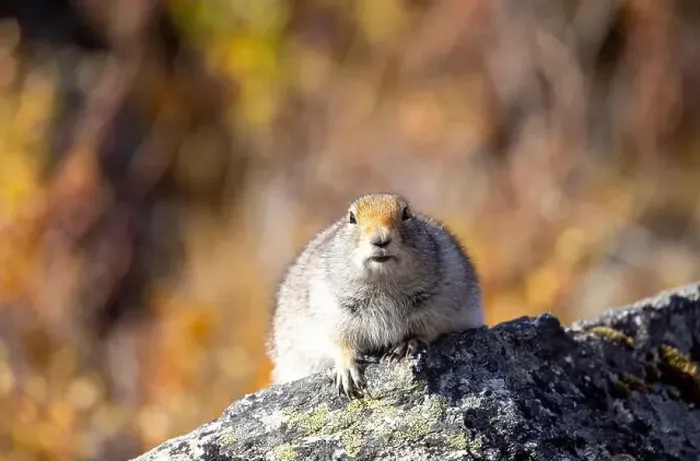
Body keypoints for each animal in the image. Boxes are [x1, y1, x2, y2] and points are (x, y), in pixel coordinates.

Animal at [266, 192, 484, 398]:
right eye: (352, 217)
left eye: (406, 213)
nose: (380, 239)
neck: (383, 283)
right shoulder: (329, 308)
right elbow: (338, 341)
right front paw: (348, 372)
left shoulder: (443, 297)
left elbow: (429, 327)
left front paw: (406, 344)